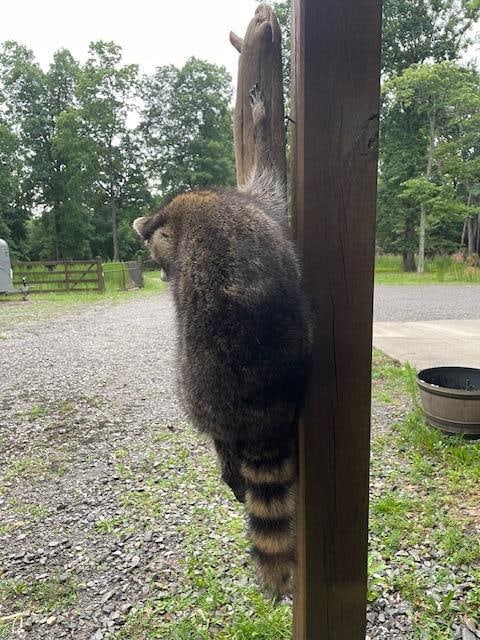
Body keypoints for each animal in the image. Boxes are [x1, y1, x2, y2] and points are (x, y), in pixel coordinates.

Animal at [134, 85, 311, 597]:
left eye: (155, 256)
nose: (161, 272)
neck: (191, 202)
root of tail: (262, 401)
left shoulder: (248, 202)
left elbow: (268, 177)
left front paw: (262, 117)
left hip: (196, 382)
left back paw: (226, 460)